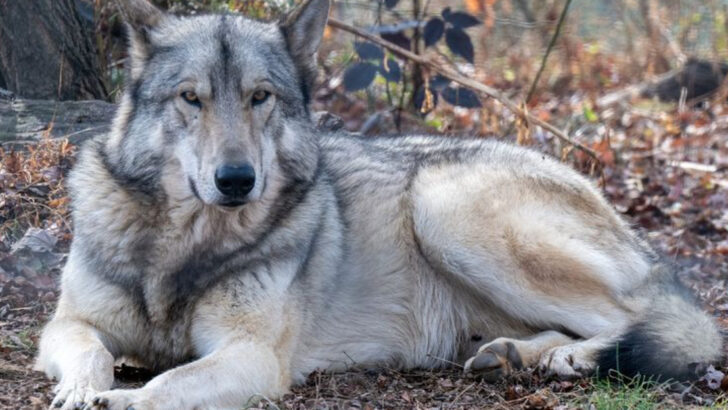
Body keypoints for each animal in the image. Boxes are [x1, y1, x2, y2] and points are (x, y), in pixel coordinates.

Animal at [35, 0, 722, 408]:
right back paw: (513, 356)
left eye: (260, 97)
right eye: (190, 98)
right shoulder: (67, 324)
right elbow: (92, 353)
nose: (236, 180)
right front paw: (80, 391)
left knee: (644, 321)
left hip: (443, 208)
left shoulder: (252, 356)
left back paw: (571, 358)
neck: (184, 247)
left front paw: (117, 399)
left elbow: (165, 383)